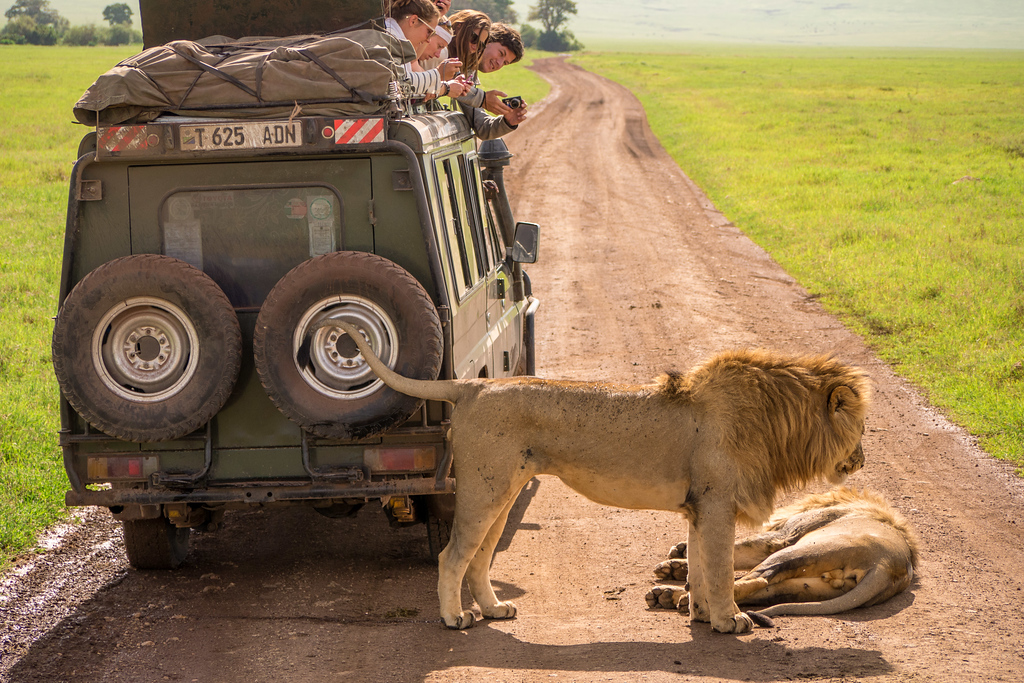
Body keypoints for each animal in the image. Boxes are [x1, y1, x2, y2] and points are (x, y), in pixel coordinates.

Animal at [335, 321, 871, 634]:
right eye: (862, 426)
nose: (862, 460)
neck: (775, 422)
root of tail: (472, 385)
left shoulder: (701, 507)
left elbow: (699, 565)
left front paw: (697, 613)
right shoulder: (718, 503)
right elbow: (718, 569)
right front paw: (729, 620)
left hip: (501, 493)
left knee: (479, 558)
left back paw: (494, 609)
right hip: (484, 492)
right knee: (452, 556)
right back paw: (454, 619)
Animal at [646, 487, 918, 620]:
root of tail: (888, 565)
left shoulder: (782, 536)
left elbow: (736, 548)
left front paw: (678, 559)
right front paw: (674, 565)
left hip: (800, 550)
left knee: (755, 579)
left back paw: (682, 597)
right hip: (806, 586)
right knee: (759, 588)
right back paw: (669, 597)